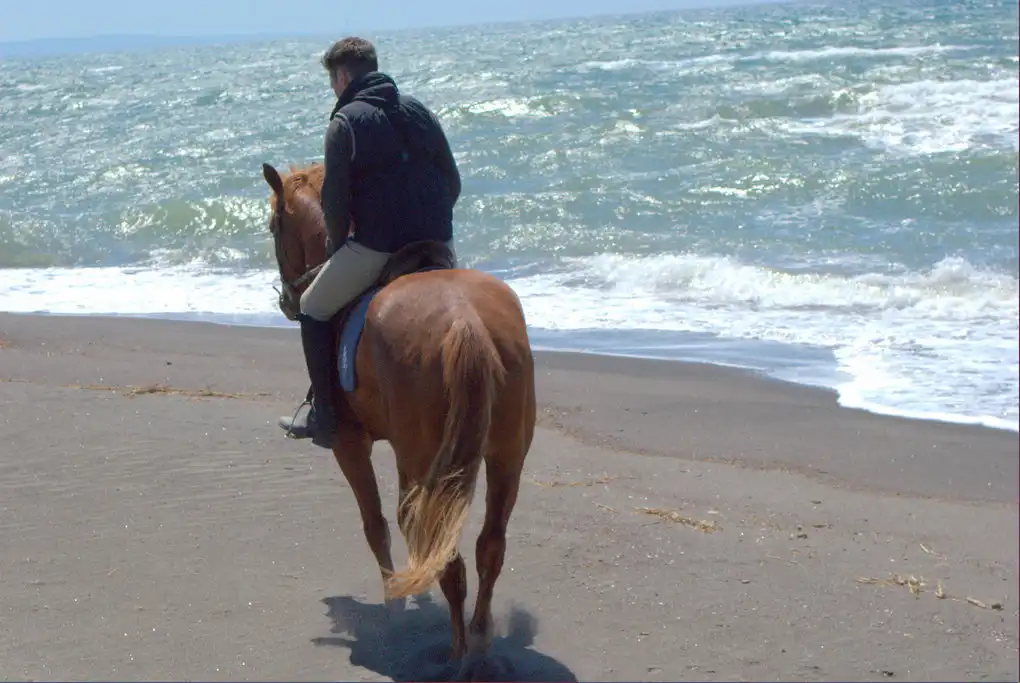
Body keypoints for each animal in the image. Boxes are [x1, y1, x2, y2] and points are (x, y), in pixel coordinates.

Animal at [260, 161, 537, 670]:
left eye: (273, 227)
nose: (288, 301)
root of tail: (465, 319)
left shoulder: (351, 445)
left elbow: (376, 524)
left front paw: (393, 604)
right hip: (507, 455)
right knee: (488, 546)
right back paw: (478, 643)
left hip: (424, 458)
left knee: (441, 547)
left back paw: (456, 653)